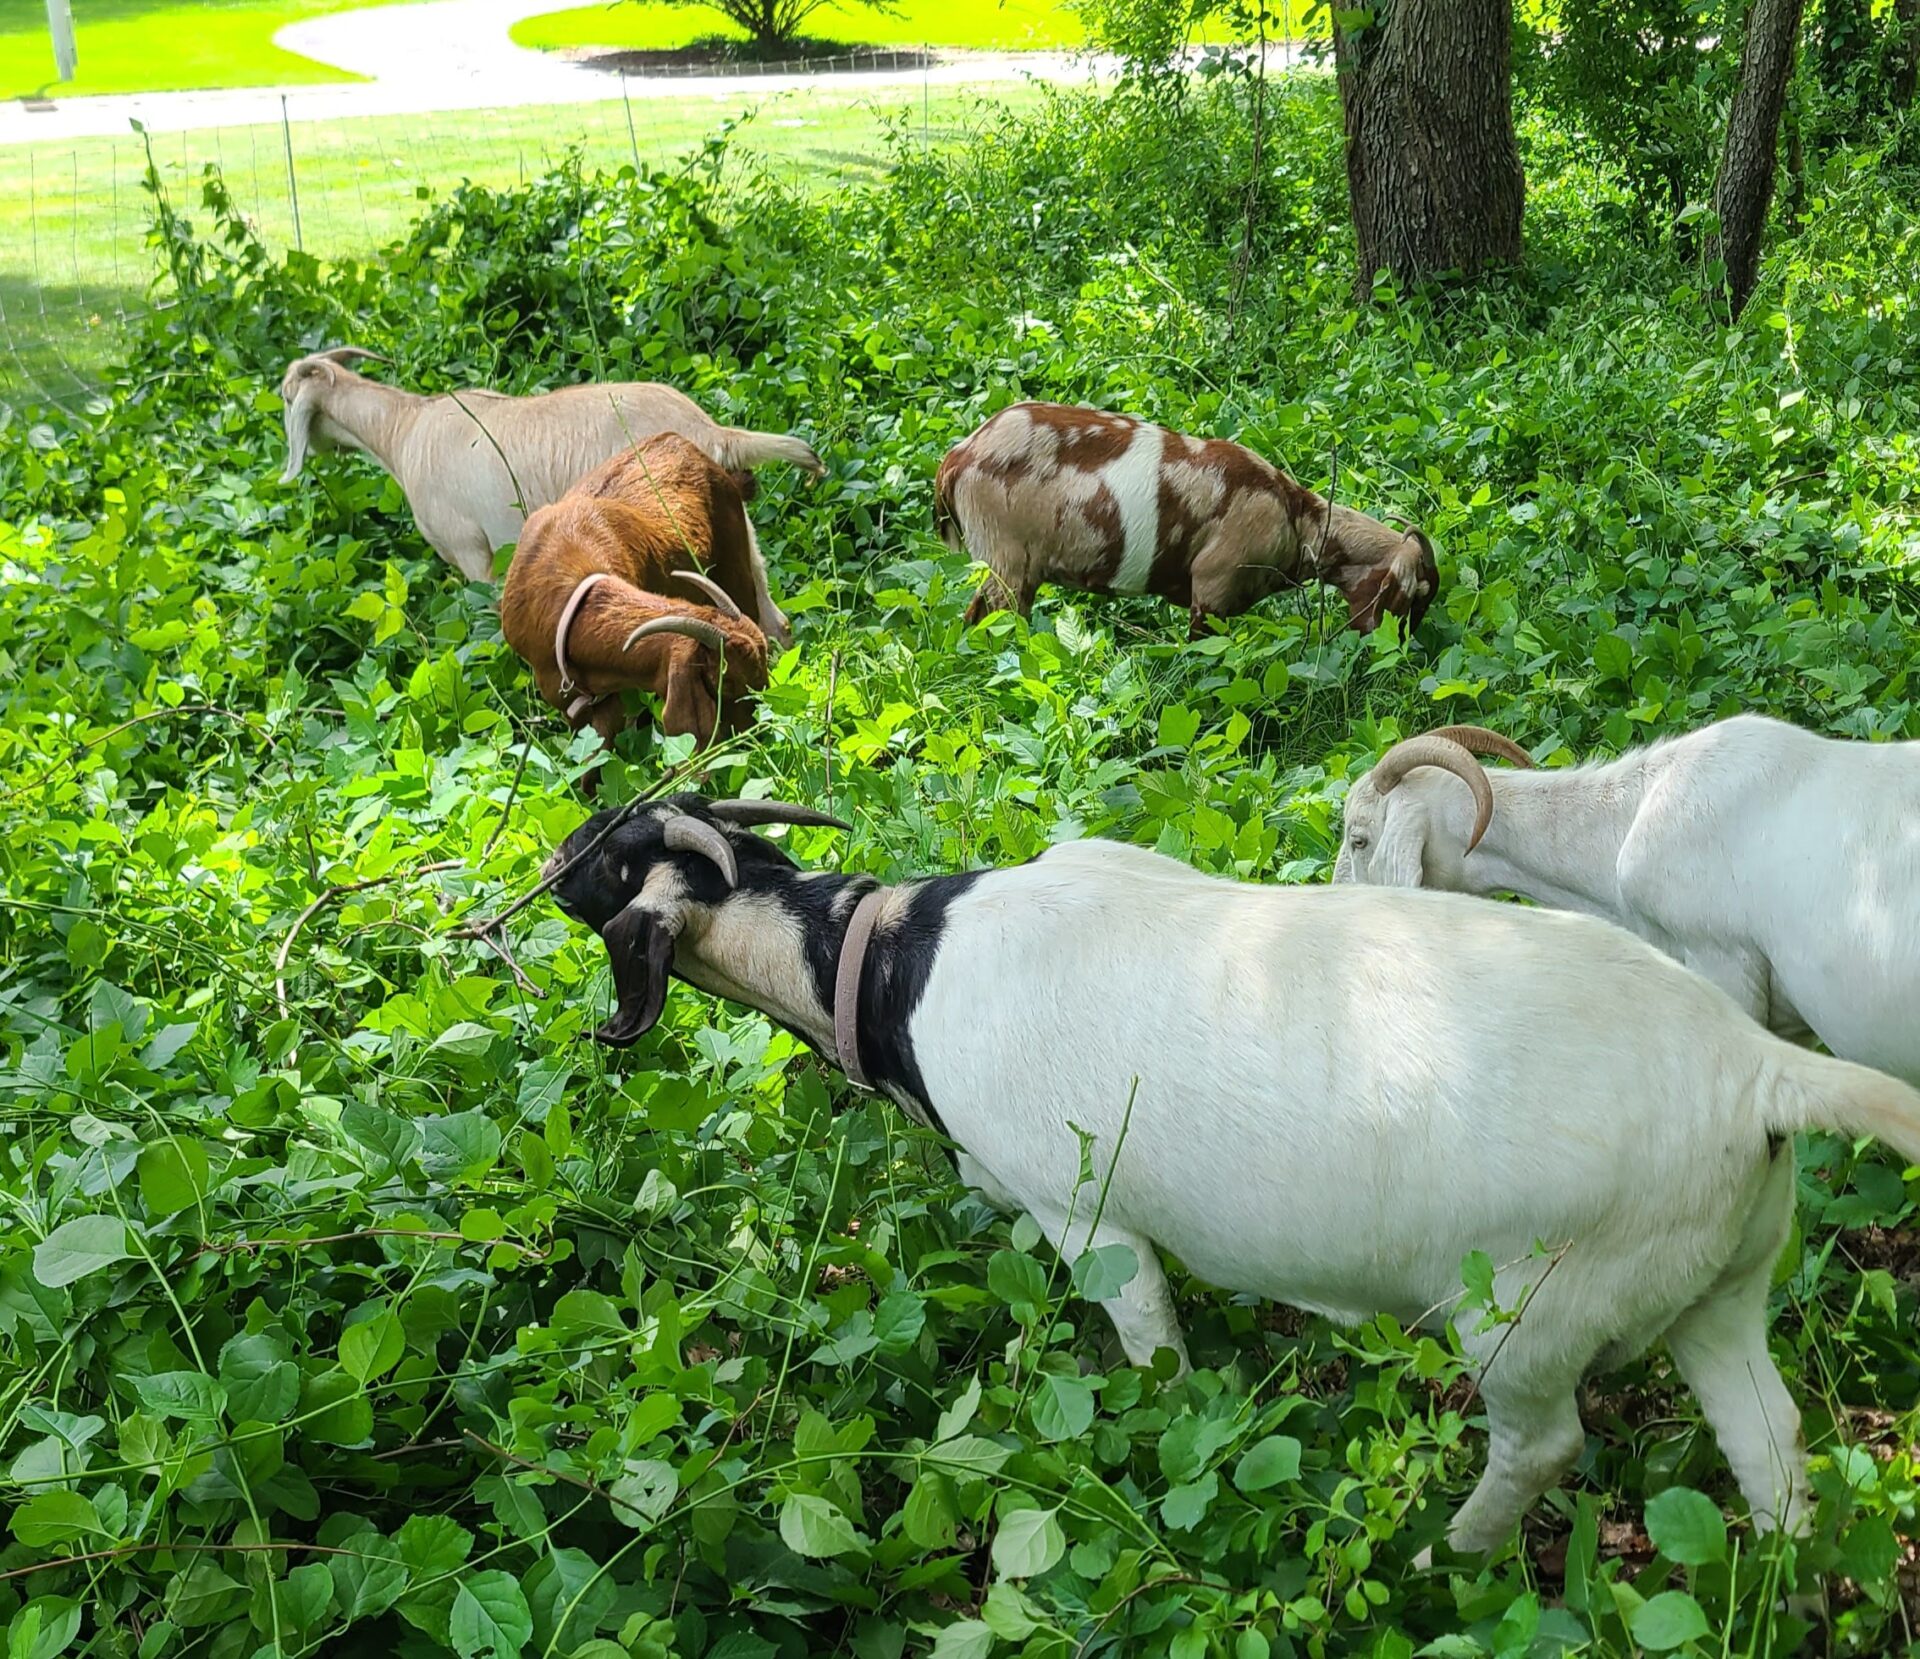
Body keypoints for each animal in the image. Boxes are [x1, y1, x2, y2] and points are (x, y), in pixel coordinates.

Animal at [276, 346, 821, 633]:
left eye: (285, 397)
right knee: (770, 615)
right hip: (736, 530)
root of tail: (711, 433)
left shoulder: (472, 551)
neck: (404, 429)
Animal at [539, 793, 1920, 1559]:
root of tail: (1751, 1071)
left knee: (1543, 1444)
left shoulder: (1082, 1208)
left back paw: (1451, 1553)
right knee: (1774, 1451)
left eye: (604, 863)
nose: (550, 853)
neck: (887, 961)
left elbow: (1150, 1348)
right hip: (1722, 1280)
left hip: (1533, 1306)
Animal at [933, 402, 1439, 639]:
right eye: (1412, 599)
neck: (1296, 518)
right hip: (1007, 560)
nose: (1398, 654)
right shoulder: (1212, 588)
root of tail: (958, 457)